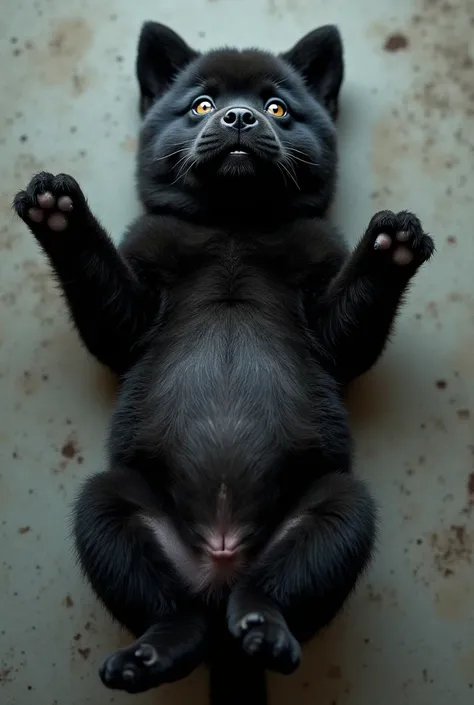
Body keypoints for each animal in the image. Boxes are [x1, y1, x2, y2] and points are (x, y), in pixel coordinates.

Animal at [12, 22, 434, 704]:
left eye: (278, 108)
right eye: (202, 104)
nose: (239, 117)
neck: (234, 226)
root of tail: (221, 559)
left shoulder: (327, 319)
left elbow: (350, 331)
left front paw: (391, 246)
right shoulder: (132, 313)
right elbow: (107, 303)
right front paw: (59, 212)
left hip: (339, 509)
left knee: (270, 593)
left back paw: (265, 630)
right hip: (108, 506)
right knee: (178, 617)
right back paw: (150, 655)